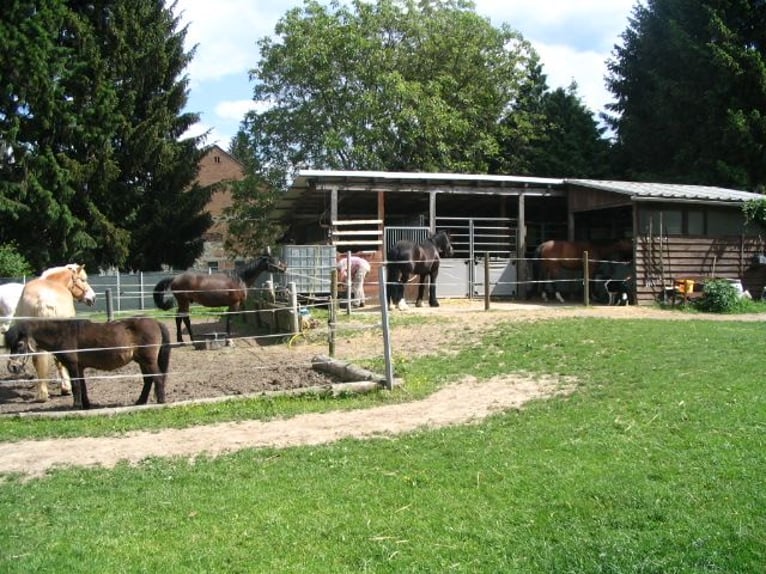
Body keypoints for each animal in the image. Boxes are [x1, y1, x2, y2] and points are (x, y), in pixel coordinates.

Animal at [5, 317, 170, 410]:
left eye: (19, 344)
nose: (12, 367)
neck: (62, 334)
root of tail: (156, 322)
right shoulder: (79, 367)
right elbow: (82, 386)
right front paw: (86, 405)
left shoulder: (72, 365)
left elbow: (76, 385)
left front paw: (76, 406)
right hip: (142, 361)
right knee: (148, 380)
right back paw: (140, 401)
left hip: (148, 361)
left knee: (158, 378)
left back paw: (161, 401)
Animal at [10, 264, 97, 403]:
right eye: (83, 280)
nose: (93, 298)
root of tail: (43, 301)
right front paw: (66, 387)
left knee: (37, 359)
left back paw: (42, 394)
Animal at [153, 254, 286, 343]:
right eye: (273, 260)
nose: (284, 267)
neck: (239, 278)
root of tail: (175, 278)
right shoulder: (234, 304)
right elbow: (230, 320)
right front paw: (229, 338)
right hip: (184, 302)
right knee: (183, 318)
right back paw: (190, 339)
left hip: (183, 303)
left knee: (180, 318)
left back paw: (184, 339)